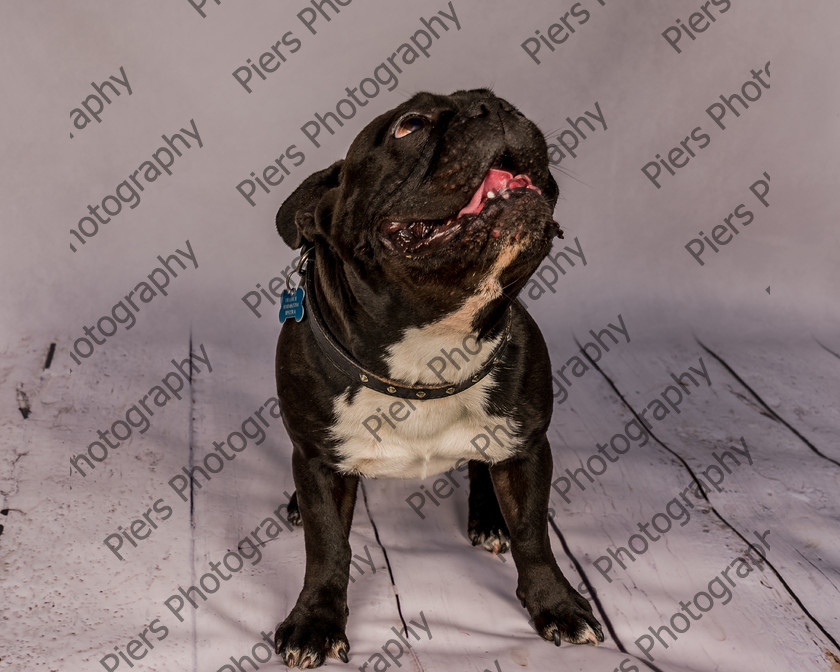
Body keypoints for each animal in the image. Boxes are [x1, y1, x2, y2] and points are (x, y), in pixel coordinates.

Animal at [272, 85, 600, 668]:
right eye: (410, 125)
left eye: (502, 100)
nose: (496, 109)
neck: (432, 342)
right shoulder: (317, 463)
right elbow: (328, 544)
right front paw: (315, 621)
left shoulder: (527, 448)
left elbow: (534, 533)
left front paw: (556, 604)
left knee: (482, 469)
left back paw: (489, 518)